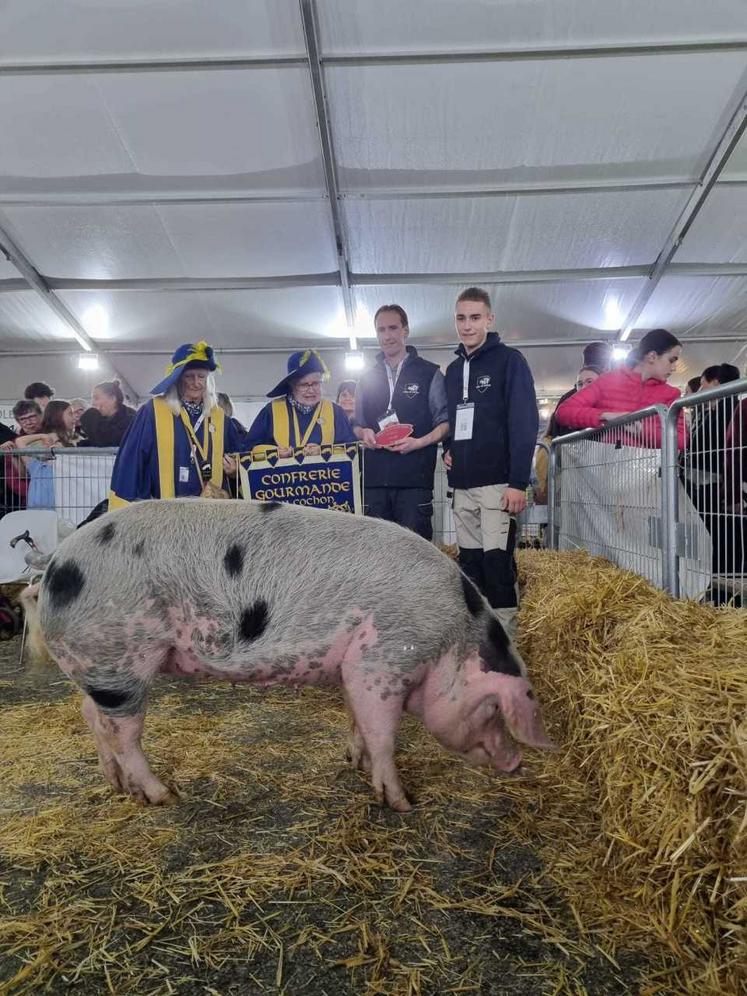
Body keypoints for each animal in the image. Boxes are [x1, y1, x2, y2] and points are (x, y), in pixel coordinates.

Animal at [27, 502, 556, 812]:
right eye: (493, 708)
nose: (515, 763)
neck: (452, 637)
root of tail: (54, 567)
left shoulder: (353, 665)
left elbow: (357, 719)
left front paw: (354, 762)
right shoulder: (383, 660)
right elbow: (384, 734)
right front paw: (400, 802)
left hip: (100, 666)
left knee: (91, 716)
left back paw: (118, 787)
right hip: (121, 660)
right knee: (123, 732)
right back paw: (162, 795)